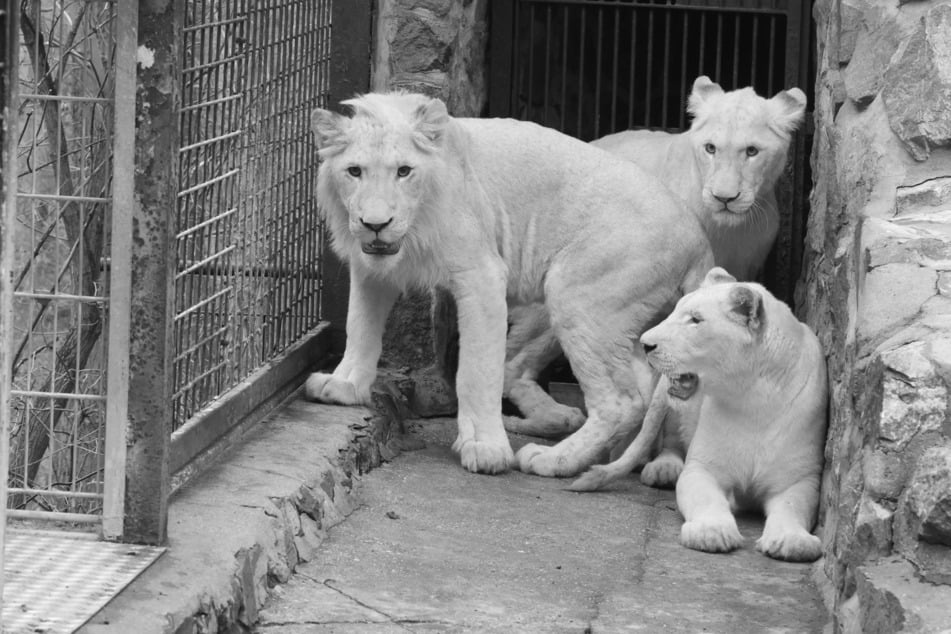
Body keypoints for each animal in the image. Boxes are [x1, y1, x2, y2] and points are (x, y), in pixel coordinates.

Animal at [304, 90, 712, 474]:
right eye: (354, 171)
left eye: (404, 171)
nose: (376, 224)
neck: (416, 227)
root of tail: (698, 238)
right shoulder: (372, 266)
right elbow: (360, 326)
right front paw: (344, 385)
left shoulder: (481, 275)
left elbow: (477, 369)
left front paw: (485, 448)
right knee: (641, 384)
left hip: (577, 295)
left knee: (620, 402)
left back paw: (553, 459)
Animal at [568, 264, 828, 560]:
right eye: (676, 310)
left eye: (695, 319)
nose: (645, 344)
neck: (753, 400)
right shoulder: (702, 468)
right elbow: (706, 499)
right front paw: (711, 532)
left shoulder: (800, 479)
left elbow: (791, 508)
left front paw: (792, 542)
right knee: (670, 441)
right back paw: (663, 470)